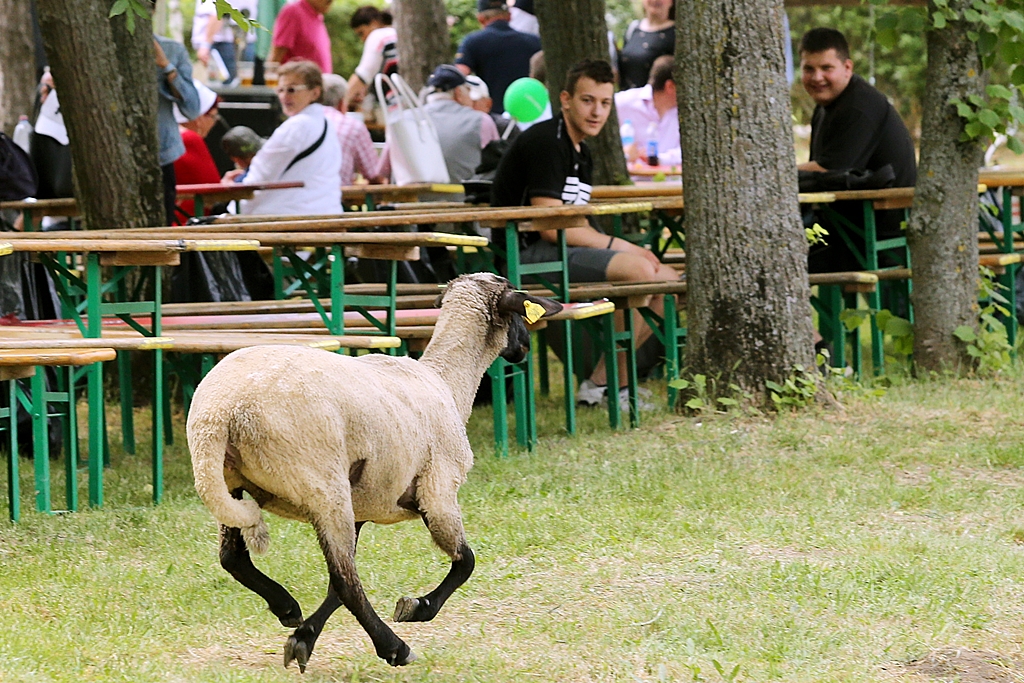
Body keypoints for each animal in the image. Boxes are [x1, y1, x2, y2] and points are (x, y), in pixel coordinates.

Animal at [188, 274, 565, 671]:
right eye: (520, 312)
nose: (524, 346)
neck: (446, 382)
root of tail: (219, 414)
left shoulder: (363, 507)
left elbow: (331, 591)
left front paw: (304, 637)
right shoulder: (438, 492)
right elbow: (466, 562)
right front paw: (416, 608)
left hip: (232, 484)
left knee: (236, 559)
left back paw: (287, 607)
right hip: (323, 485)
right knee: (346, 580)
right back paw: (394, 647)